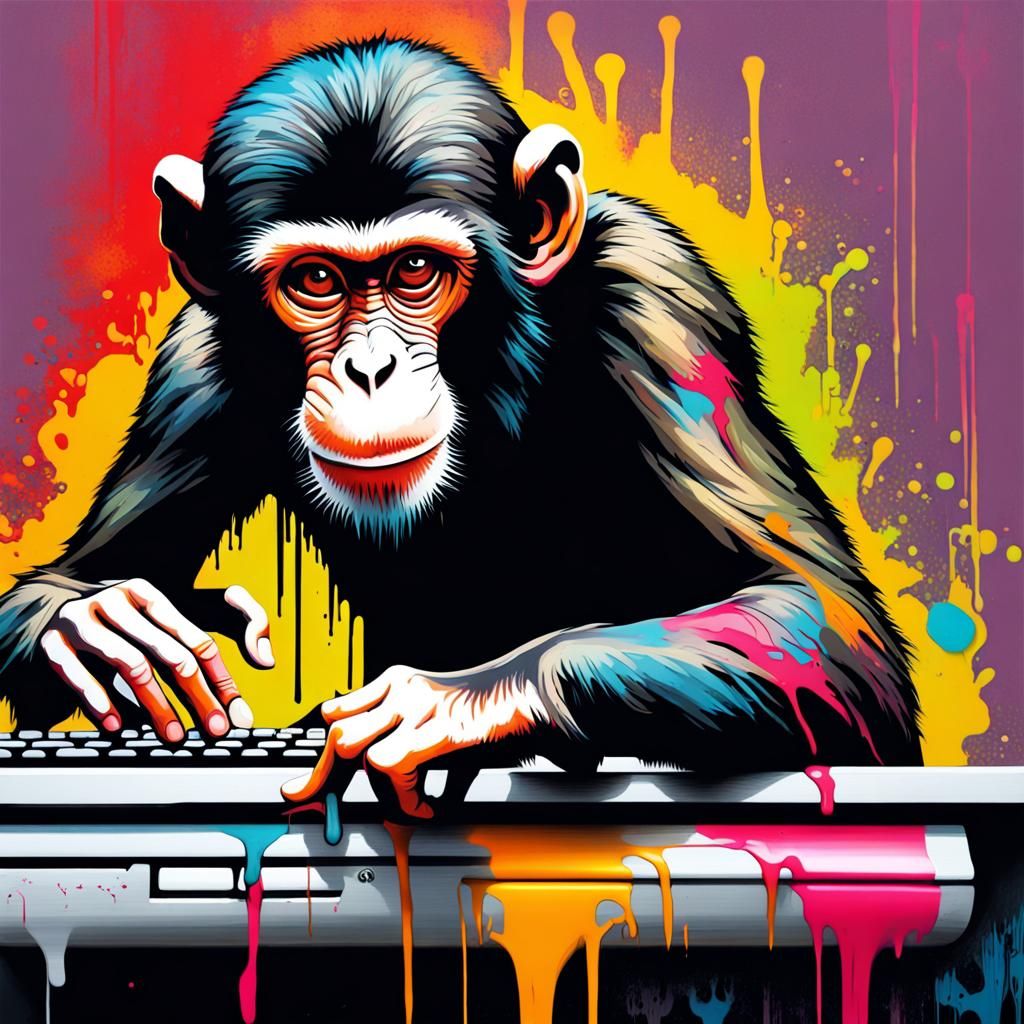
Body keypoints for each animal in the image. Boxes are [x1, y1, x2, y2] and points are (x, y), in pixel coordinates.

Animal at [0, 37, 921, 815]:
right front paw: (117, 623)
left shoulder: (657, 297)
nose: (370, 370)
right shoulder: (192, 365)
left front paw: (449, 705)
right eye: (315, 280)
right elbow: (78, 576)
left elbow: (821, 619)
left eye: (415, 269)